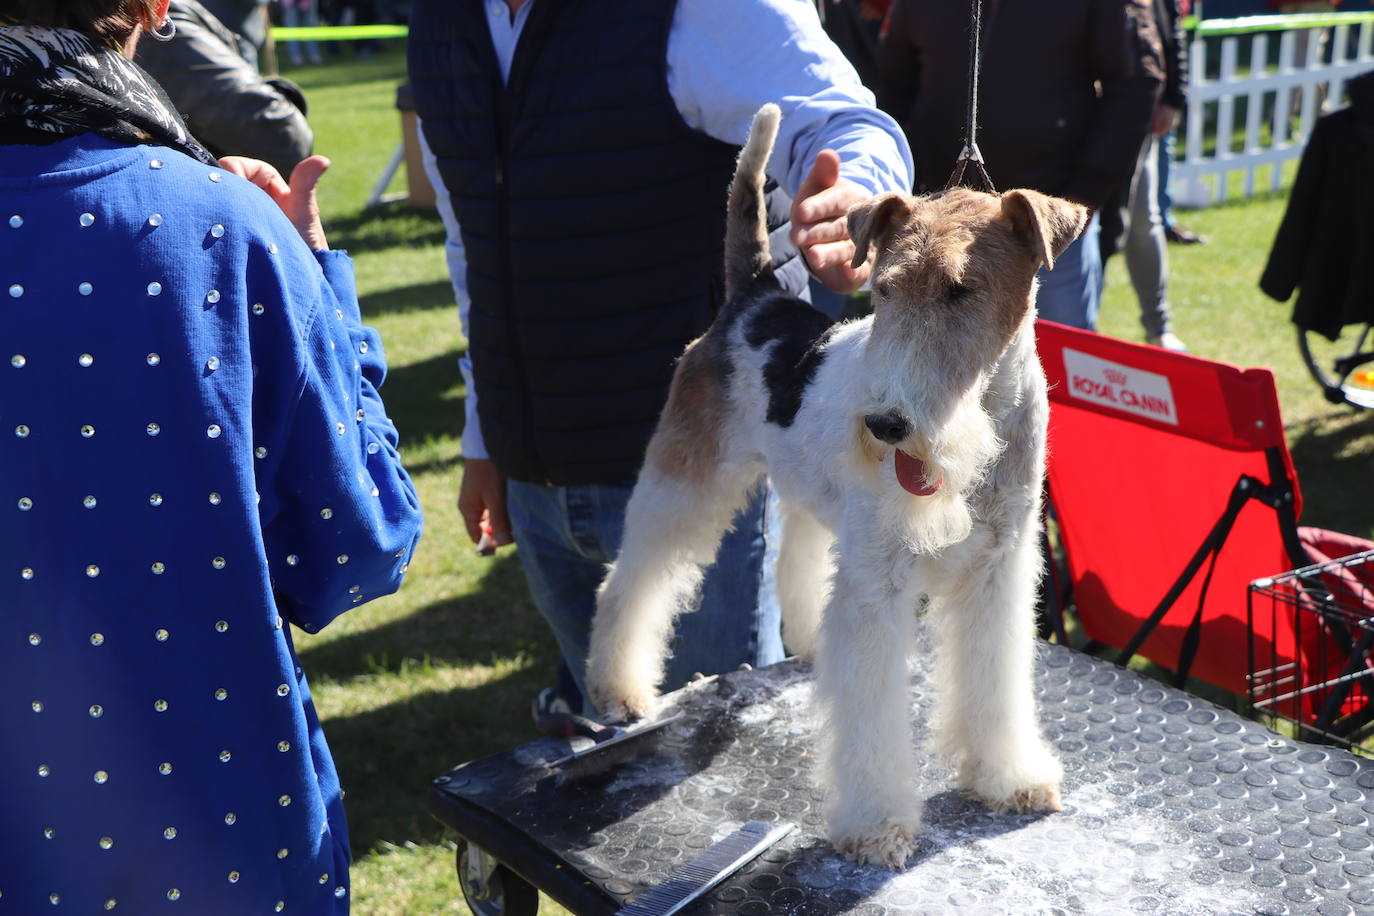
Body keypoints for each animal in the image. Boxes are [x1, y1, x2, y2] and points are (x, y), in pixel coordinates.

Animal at [585, 105, 1088, 867]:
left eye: (962, 289)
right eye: (882, 288)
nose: (885, 424)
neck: (985, 429)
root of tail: (752, 297)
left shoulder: (998, 571)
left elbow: (993, 682)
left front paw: (1010, 779)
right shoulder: (880, 586)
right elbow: (872, 720)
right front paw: (877, 827)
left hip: (808, 500)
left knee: (794, 558)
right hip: (684, 483)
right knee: (632, 582)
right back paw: (618, 690)